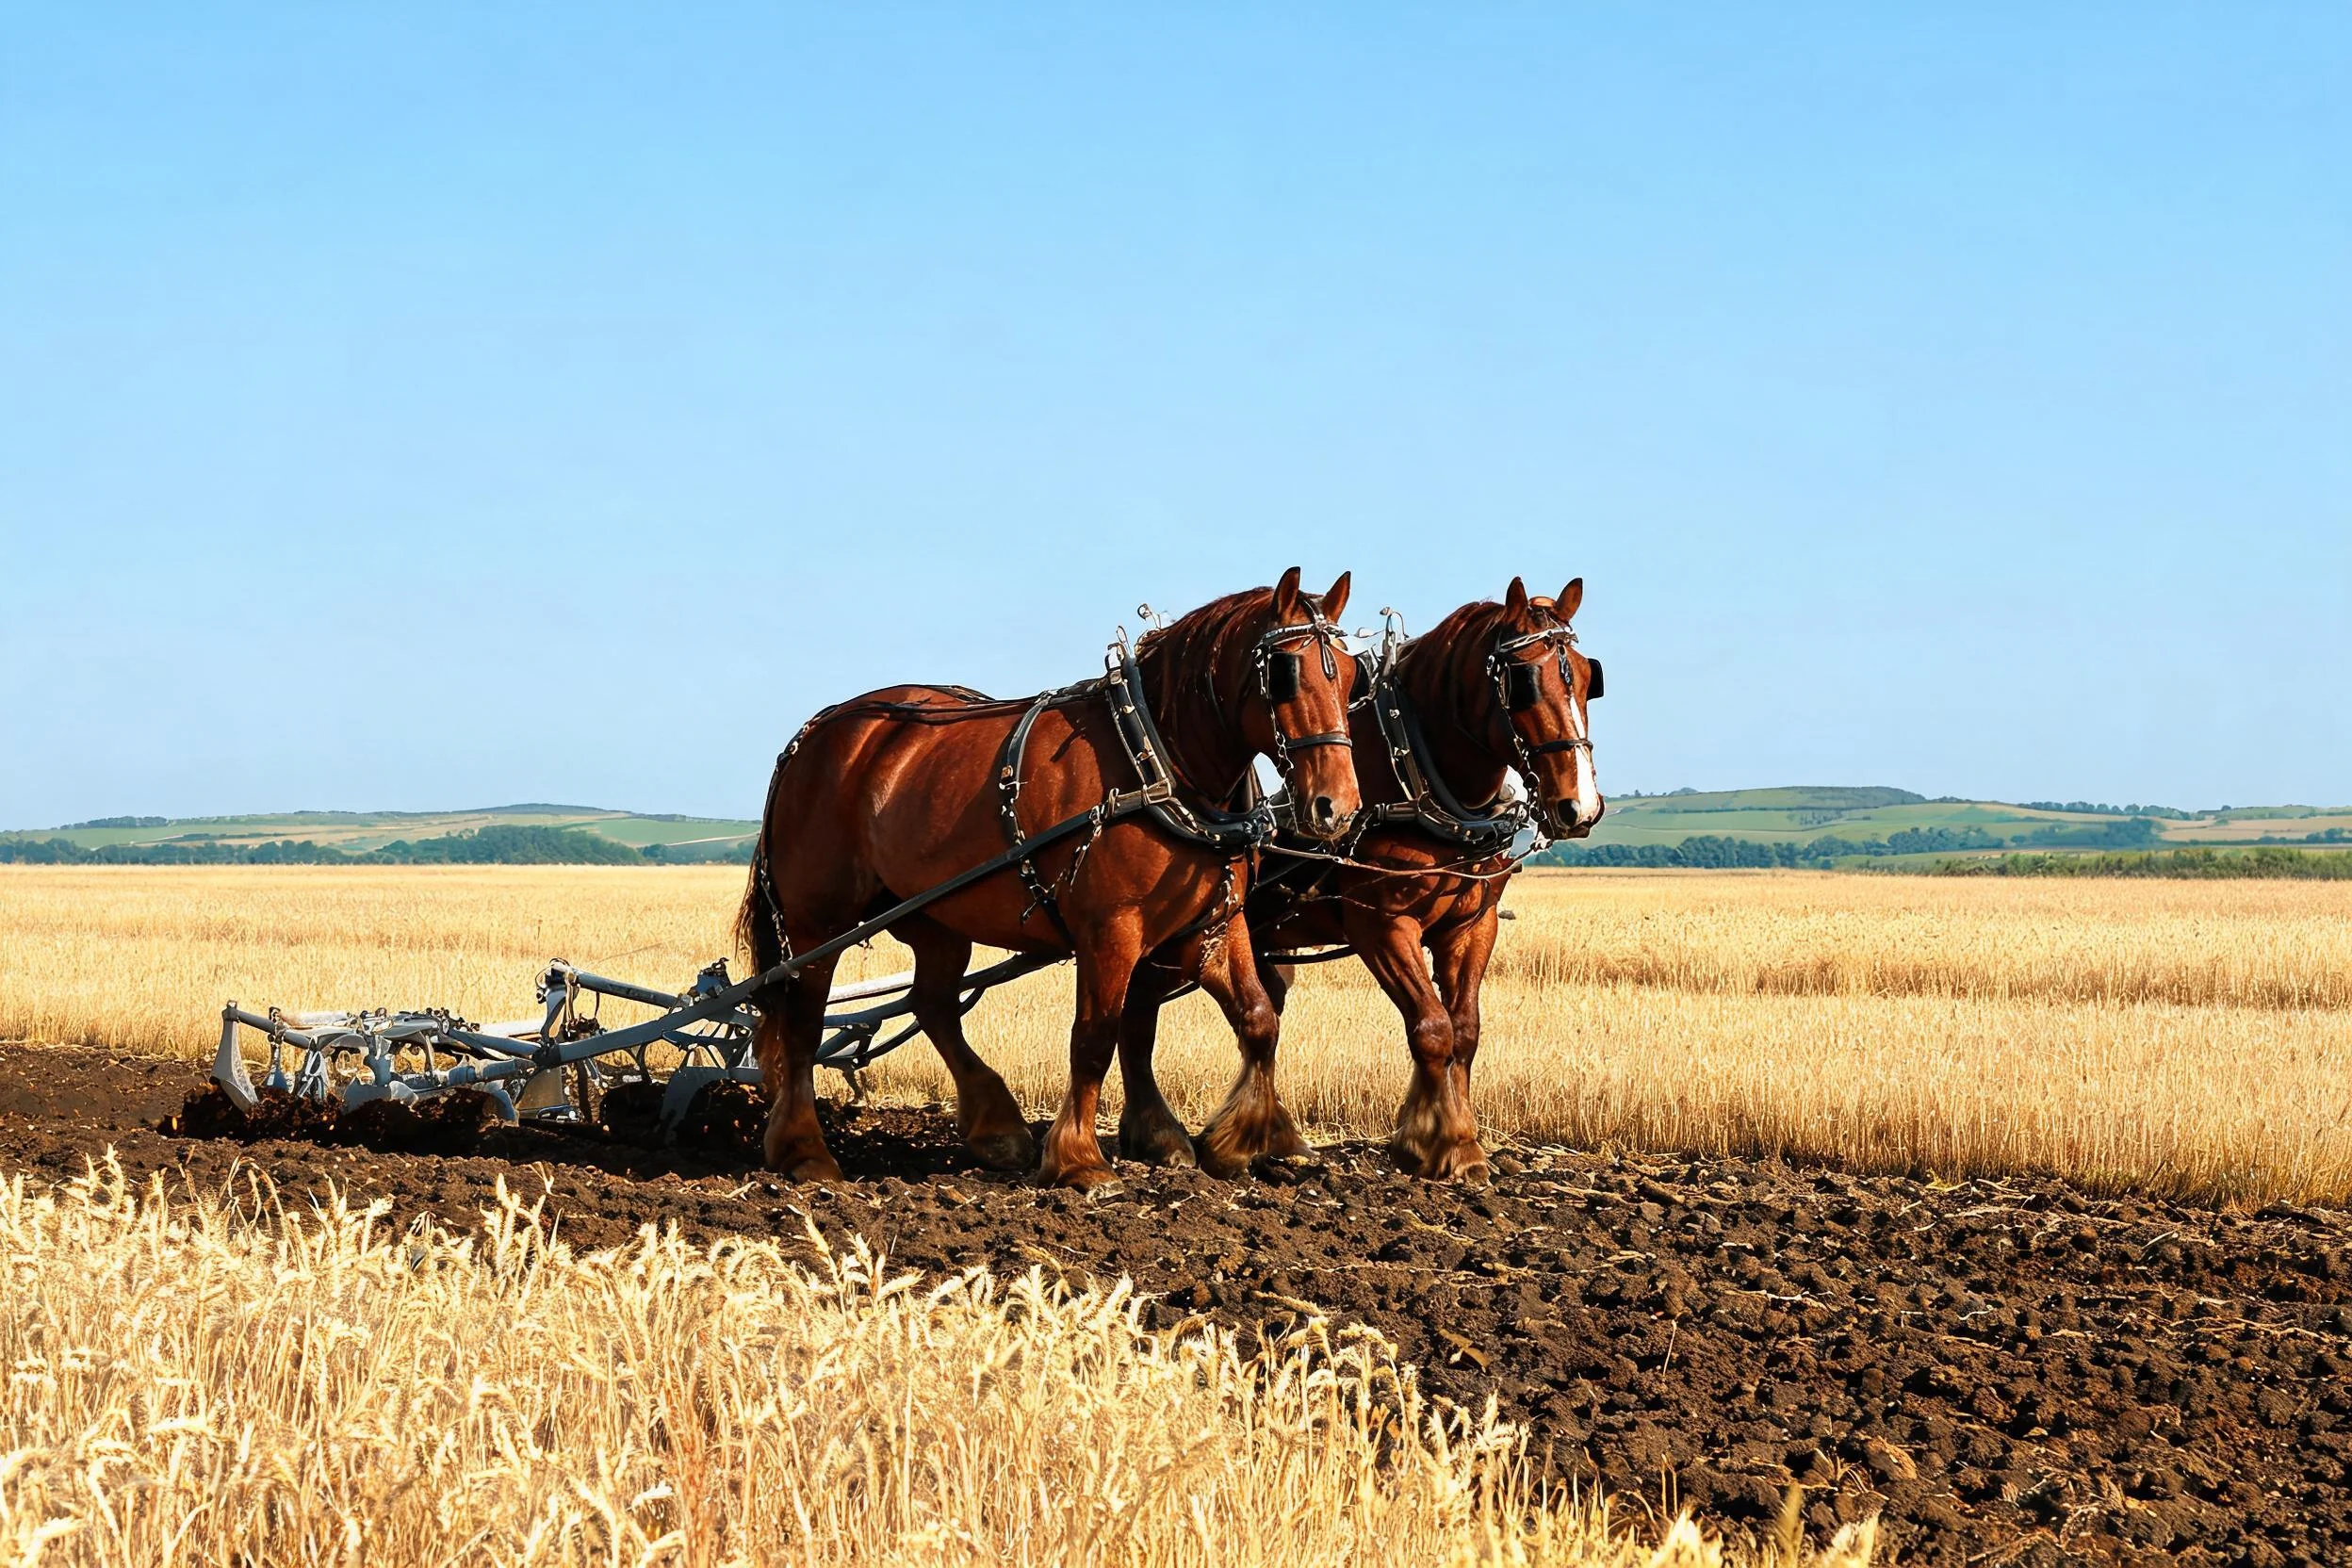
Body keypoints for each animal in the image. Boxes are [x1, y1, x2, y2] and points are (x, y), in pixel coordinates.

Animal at [736, 568, 1363, 1189]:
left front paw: (1243, 1141)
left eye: (1352, 672)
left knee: (932, 1004)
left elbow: (1257, 1019)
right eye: (1283, 673)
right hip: (818, 919)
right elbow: (1095, 1037)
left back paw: (998, 1128)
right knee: (803, 1021)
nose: (1337, 807)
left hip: (932, 915)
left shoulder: (1215, 924)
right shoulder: (1110, 932)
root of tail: (815, 733)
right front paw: (1080, 1159)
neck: (1152, 756)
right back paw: (805, 1150)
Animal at [1115, 576, 1603, 1183]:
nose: (1580, 806)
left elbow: (1464, 1032)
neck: (1419, 777)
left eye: (1588, 676)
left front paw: (1454, 1140)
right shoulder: (1383, 926)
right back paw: (1160, 1136)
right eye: (1523, 682)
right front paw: (1437, 1141)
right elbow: (1432, 1028)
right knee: (1136, 1020)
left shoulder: (1473, 925)